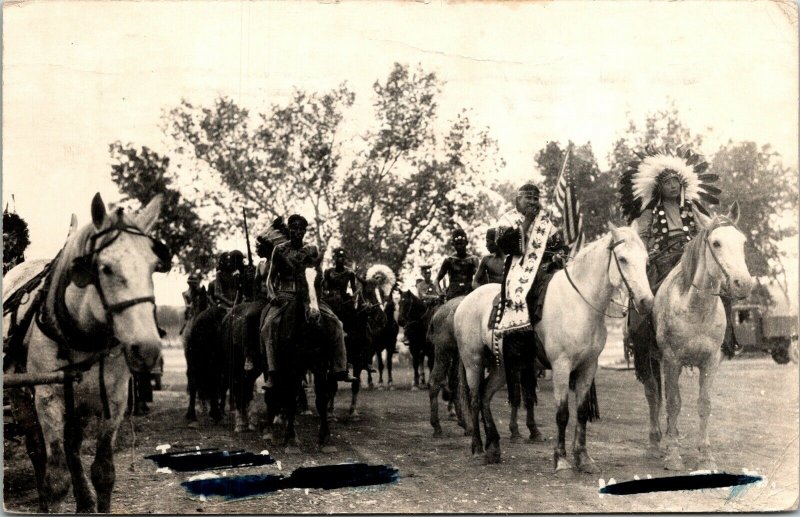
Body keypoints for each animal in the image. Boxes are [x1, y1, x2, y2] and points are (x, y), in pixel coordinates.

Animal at [262, 256, 338, 450]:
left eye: (320, 281)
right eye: (300, 281)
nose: (313, 315)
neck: (306, 331)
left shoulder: (319, 365)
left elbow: (321, 399)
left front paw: (325, 438)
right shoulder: (292, 368)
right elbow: (289, 398)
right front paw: (291, 439)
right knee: (274, 393)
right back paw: (270, 430)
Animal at [456, 224, 656, 474]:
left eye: (646, 260)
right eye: (622, 259)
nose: (647, 302)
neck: (579, 304)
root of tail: (464, 302)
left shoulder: (588, 367)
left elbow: (581, 413)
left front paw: (584, 458)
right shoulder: (562, 366)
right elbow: (562, 414)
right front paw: (561, 460)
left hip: (502, 367)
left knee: (485, 396)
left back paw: (493, 448)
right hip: (473, 362)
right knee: (474, 400)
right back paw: (478, 449)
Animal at [640, 203, 752, 472]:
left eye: (742, 242)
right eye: (716, 243)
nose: (743, 284)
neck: (695, 308)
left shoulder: (710, 361)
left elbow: (704, 404)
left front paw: (706, 456)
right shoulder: (672, 360)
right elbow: (673, 402)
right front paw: (673, 455)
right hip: (646, 356)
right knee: (653, 394)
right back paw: (656, 443)